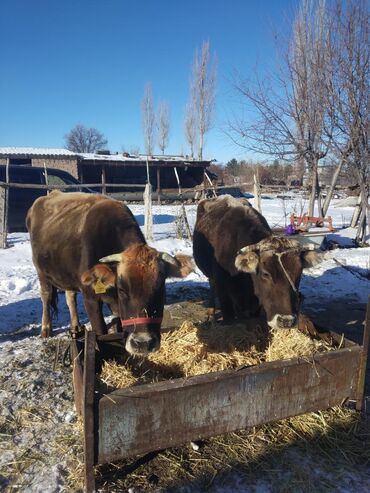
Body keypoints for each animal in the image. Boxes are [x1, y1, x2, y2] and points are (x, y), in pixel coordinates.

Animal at [27, 190, 192, 356]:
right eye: (122, 290)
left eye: (160, 289)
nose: (143, 343)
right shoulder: (90, 298)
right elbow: (100, 331)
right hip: (41, 271)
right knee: (46, 295)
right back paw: (46, 329)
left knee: (70, 296)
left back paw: (76, 326)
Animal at [192, 195, 322, 326]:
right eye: (265, 273)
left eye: (299, 272)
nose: (286, 320)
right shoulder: (222, 286)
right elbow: (229, 317)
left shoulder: (255, 304)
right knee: (212, 285)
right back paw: (210, 312)